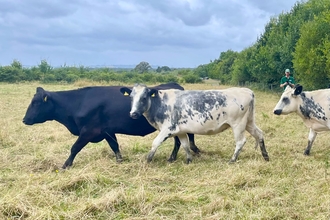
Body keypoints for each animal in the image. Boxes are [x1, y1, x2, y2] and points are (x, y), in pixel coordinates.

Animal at [23, 83, 200, 168]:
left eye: (36, 103)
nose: (24, 120)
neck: (78, 102)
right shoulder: (107, 131)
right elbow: (114, 146)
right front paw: (120, 160)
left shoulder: (88, 131)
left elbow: (74, 148)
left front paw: (66, 165)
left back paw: (175, 156)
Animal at [120, 84, 270, 163]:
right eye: (131, 97)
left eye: (144, 97)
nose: (133, 114)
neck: (161, 103)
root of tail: (247, 90)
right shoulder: (180, 130)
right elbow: (185, 145)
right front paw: (188, 160)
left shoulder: (168, 128)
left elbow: (155, 143)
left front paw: (148, 159)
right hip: (249, 122)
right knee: (259, 134)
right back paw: (266, 156)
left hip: (238, 124)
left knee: (240, 141)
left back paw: (232, 160)